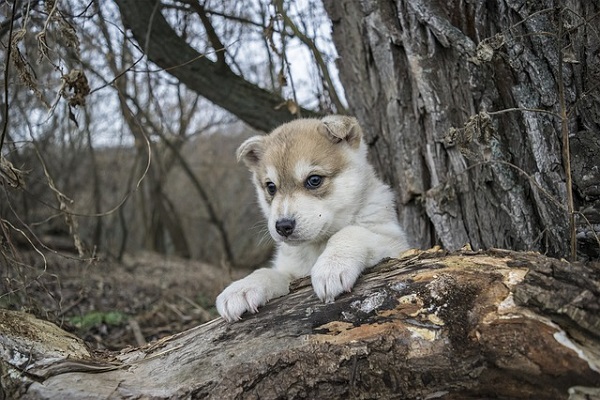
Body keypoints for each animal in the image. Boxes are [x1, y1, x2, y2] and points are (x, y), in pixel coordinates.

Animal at [218, 115, 410, 322]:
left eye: (314, 180)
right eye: (271, 187)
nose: (283, 226)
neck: (316, 246)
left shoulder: (395, 244)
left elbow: (350, 231)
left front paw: (332, 265)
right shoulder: (291, 271)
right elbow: (267, 272)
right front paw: (242, 288)